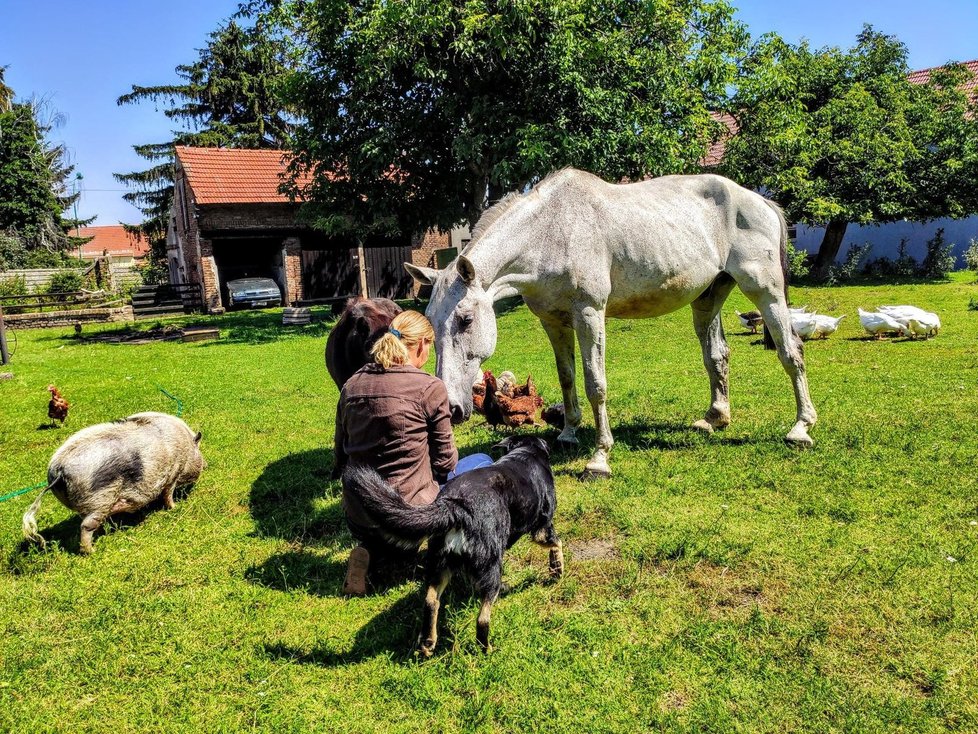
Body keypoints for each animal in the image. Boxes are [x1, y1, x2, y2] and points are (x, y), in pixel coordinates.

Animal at [22, 412, 203, 556]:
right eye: (199, 451)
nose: (206, 465)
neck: (187, 446)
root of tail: (59, 469)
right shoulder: (174, 472)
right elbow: (168, 494)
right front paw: (174, 507)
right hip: (100, 499)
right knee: (86, 526)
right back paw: (92, 551)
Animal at [342, 436, 564, 656]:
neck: (525, 452)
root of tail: (456, 506)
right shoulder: (542, 528)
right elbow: (557, 542)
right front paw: (557, 568)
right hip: (491, 563)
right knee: (483, 617)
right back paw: (487, 647)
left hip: (439, 564)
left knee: (431, 601)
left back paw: (428, 642)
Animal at [404, 173, 816, 484]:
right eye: (432, 321)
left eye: (465, 320)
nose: (452, 408)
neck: (550, 231)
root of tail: (759, 202)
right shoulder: (554, 321)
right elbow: (567, 377)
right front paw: (568, 433)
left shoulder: (589, 313)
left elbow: (595, 384)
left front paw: (599, 458)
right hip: (708, 298)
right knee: (717, 356)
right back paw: (714, 418)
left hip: (766, 292)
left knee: (790, 351)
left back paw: (801, 428)